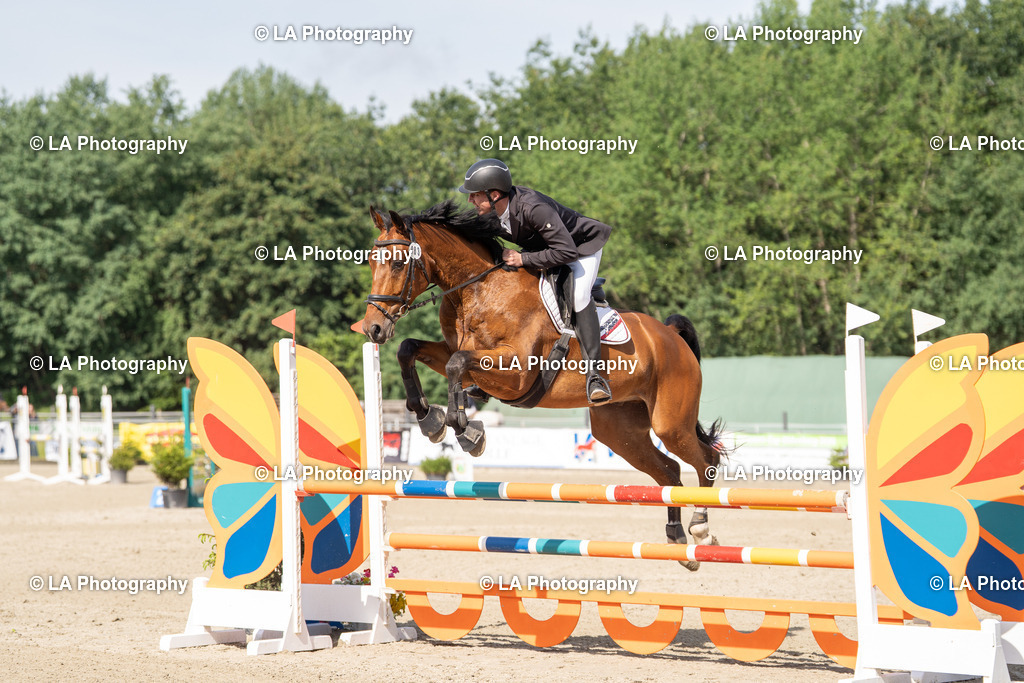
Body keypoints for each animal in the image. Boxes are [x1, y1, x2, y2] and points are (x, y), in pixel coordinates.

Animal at [361, 200, 724, 569]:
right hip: (620, 432)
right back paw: (677, 540)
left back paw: (700, 530)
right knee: (669, 472)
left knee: (706, 460)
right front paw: (429, 419)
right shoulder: (462, 355)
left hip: (670, 423)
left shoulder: (517, 372)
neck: (477, 291)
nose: (373, 328)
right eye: (371, 261)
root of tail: (670, 335)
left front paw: (466, 431)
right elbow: (411, 350)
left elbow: (456, 364)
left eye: (397, 262)